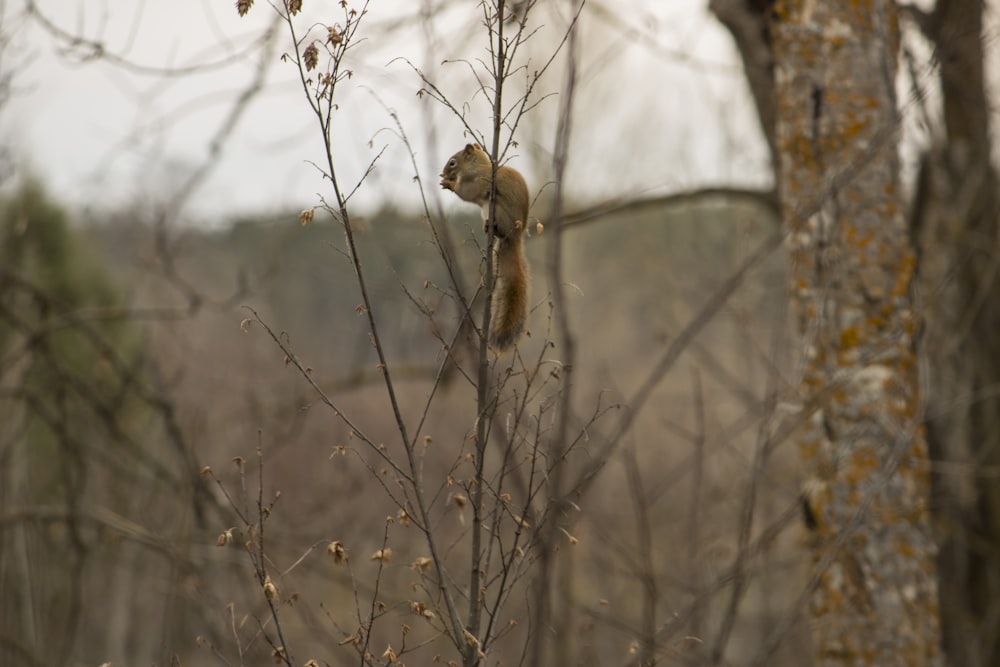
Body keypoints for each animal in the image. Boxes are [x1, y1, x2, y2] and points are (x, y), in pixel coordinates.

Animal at [440, 144, 528, 352]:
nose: (443, 172)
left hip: (500, 212)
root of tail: (515, 236)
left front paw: (449, 184)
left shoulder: (480, 181)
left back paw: (493, 227)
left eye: (452, 162)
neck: (478, 166)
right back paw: (487, 227)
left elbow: (467, 192)